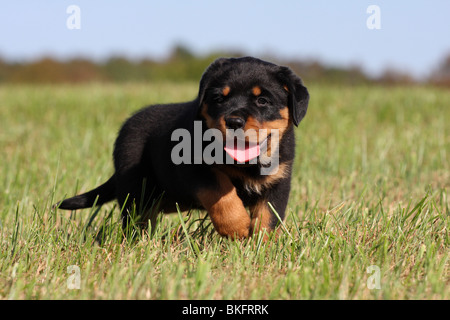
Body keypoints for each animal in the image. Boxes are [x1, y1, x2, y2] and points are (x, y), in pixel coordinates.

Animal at [56, 56, 310, 239]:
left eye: (263, 101)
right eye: (219, 99)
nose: (234, 121)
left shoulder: (279, 180)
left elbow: (269, 216)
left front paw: (260, 245)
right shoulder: (195, 169)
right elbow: (222, 193)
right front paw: (237, 227)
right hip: (136, 189)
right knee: (136, 218)